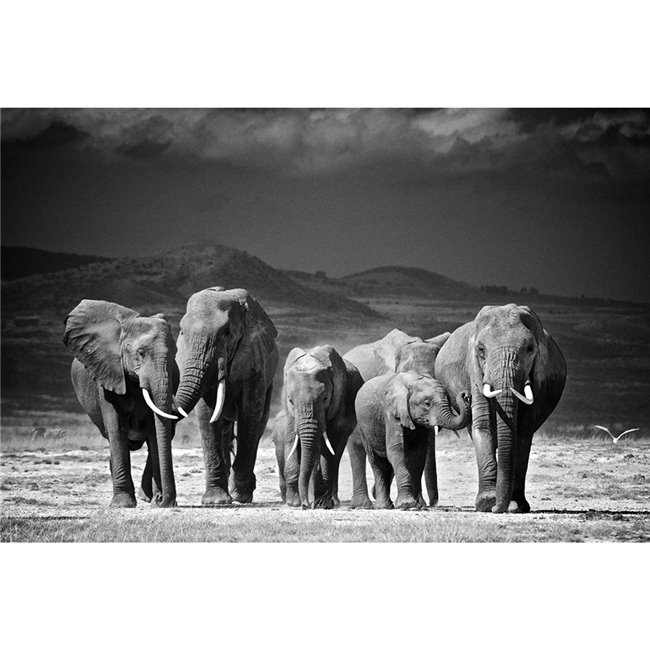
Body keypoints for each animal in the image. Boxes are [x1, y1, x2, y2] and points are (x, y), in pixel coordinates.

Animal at [63, 300, 179, 508]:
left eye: (175, 355)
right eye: (140, 353)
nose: (164, 501)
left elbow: (154, 431)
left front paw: (156, 501)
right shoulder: (108, 374)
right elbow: (117, 429)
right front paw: (123, 504)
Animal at [174, 287, 279, 506]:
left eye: (227, 333)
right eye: (182, 332)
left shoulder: (254, 357)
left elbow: (250, 412)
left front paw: (241, 496)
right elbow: (207, 415)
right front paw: (215, 502)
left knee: (259, 423)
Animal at [280, 345, 363, 509]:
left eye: (325, 399)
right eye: (290, 400)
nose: (305, 505)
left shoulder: (340, 400)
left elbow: (330, 447)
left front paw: (322, 505)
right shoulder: (291, 414)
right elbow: (292, 440)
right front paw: (294, 503)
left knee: (335, 454)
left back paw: (332, 502)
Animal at [355, 371, 470, 509]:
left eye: (448, 400)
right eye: (427, 404)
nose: (465, 395)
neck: (413, 381)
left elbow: (418, 455)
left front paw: (419, 505)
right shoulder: (391, 413)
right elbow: (396, 451)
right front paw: (407, 504)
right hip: (363, 428)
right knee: (377, 463)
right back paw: (383, 506)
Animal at [434, 303, 567, 514]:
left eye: (530, 349)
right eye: (481, 349)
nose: (498, 508)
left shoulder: (538, 379)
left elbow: (522, 431)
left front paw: (515, 506)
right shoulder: (475, 372)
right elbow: (483, 426)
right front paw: (487, 503)